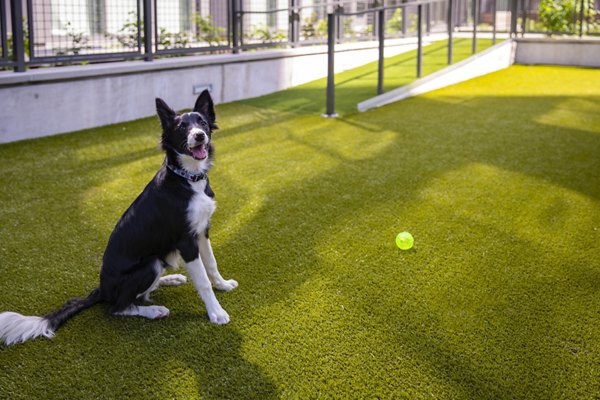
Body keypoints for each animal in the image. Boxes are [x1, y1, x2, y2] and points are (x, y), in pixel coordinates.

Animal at [0, 89, 238, 346]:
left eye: (202, 123)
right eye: (182, 127)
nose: (200, 136)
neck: (187, 179)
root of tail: (101, 289)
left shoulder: (202, 231)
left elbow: (211, 264)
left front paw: (223, 285)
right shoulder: (186, 240)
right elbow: (203, 281)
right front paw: (216, 313)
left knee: (141, 294)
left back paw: (171, 279)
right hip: (149, 264)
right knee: (118, 307)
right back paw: (153, 310)